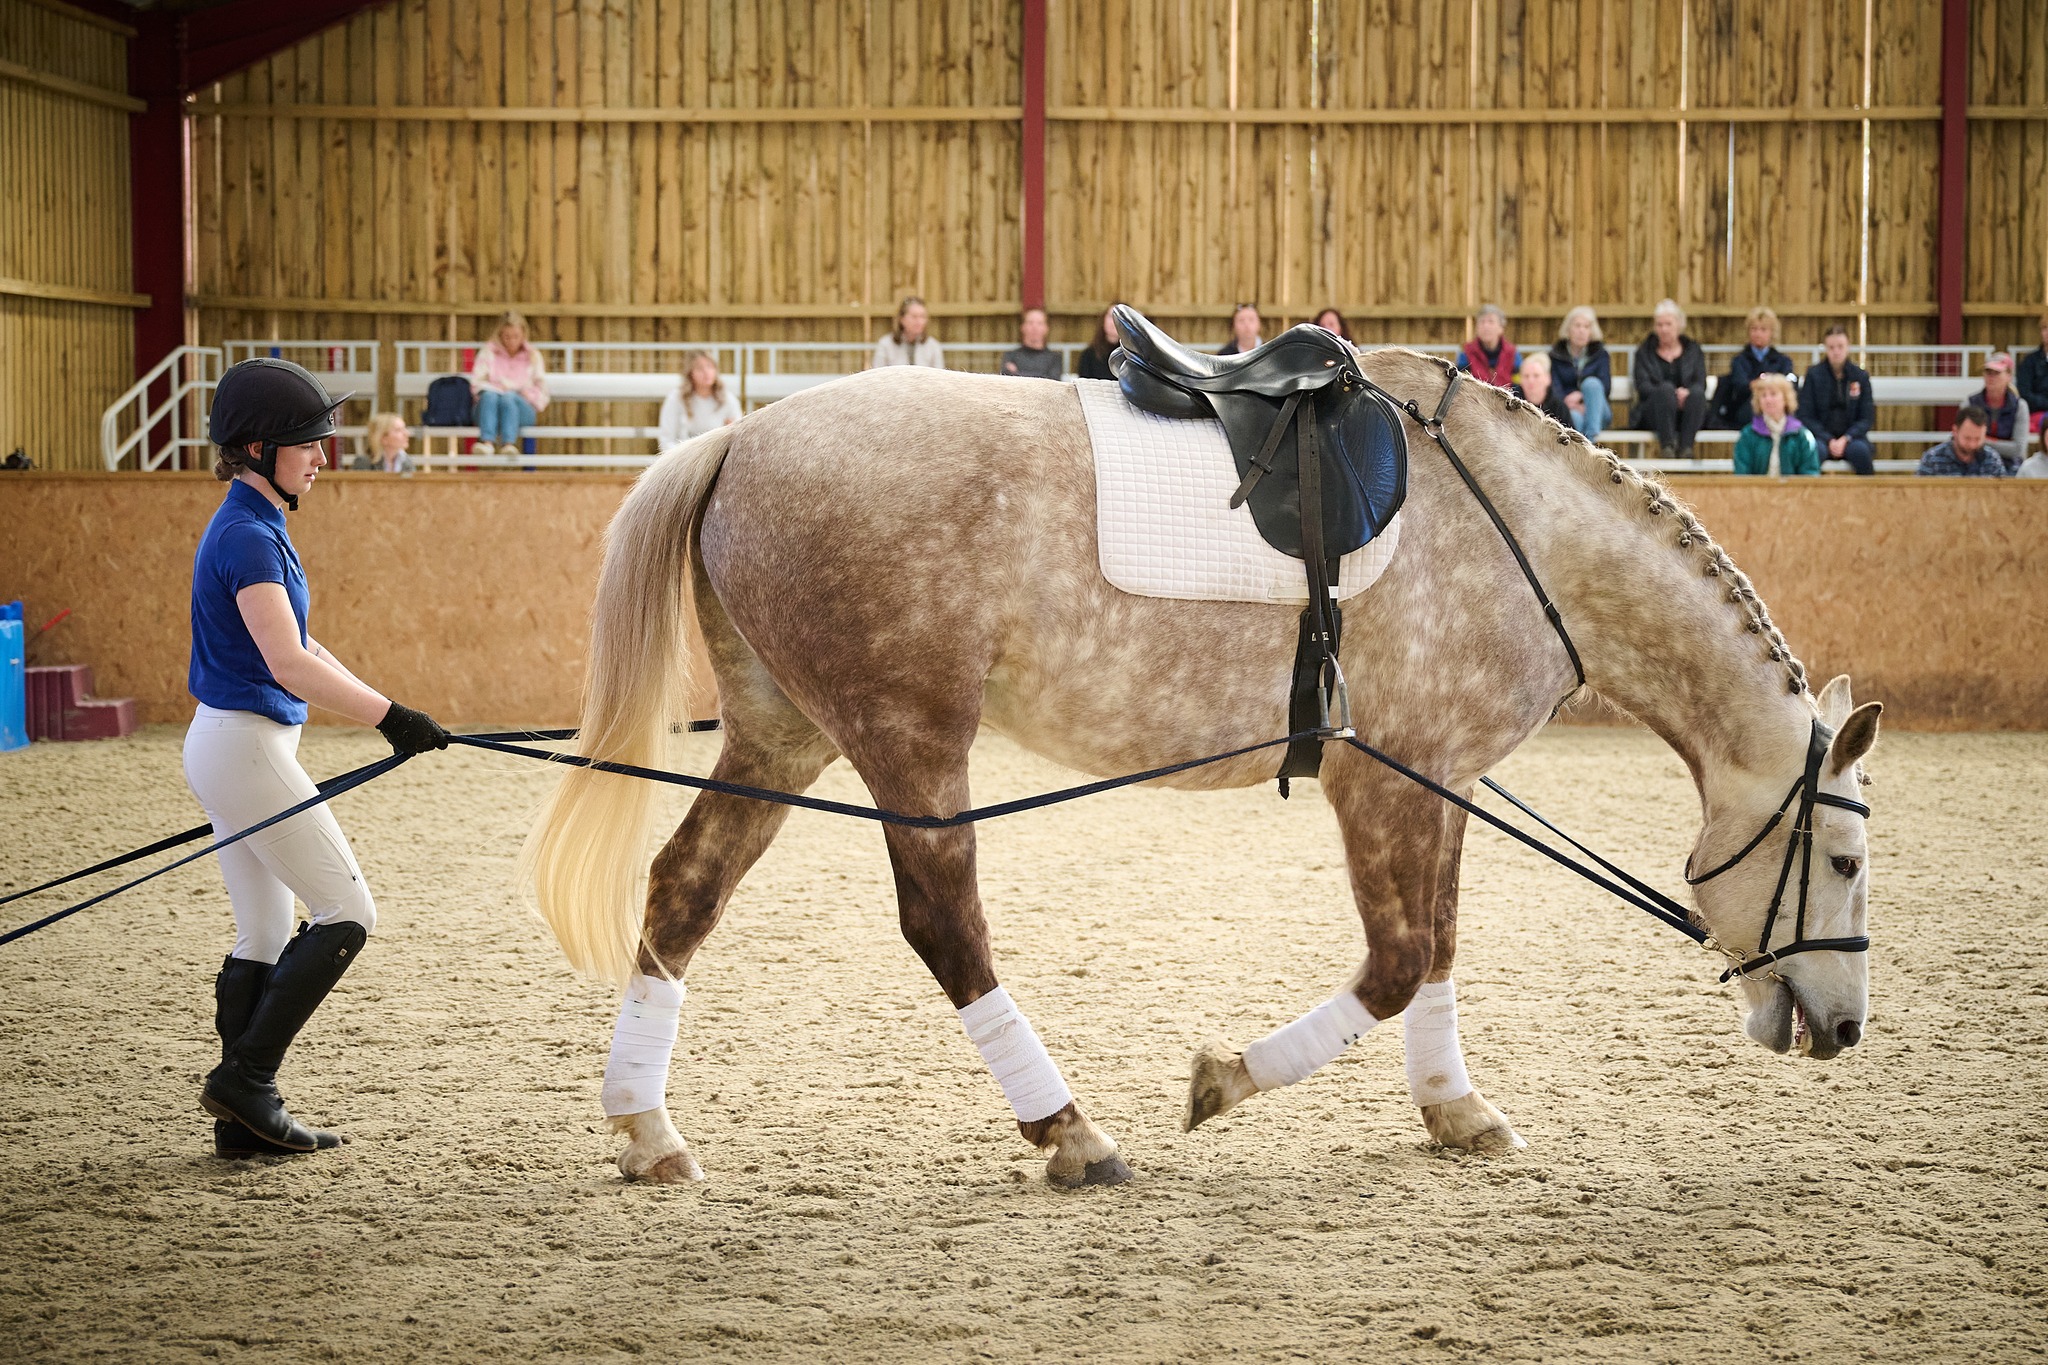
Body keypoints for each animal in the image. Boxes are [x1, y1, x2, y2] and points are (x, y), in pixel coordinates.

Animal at [523, 350, 1881, 1187]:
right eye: (1843, 858)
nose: (1845, 1030)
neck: (1522, 537)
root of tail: (741, 436)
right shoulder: (1379, 781)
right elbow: (1396, 963)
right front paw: (1222, 1081)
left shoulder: (1437, 776)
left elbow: (1438, 951)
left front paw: (1454, 1108)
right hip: (908, 739)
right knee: (943, 923)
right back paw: (1071, 1133)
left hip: (783, 736)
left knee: (682, 893)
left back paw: (645, 1129)